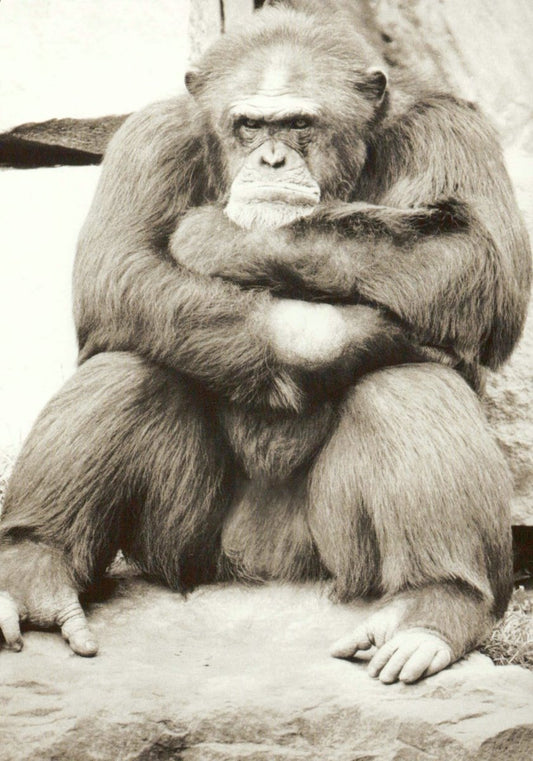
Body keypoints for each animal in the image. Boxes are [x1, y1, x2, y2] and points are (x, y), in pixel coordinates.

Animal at [0, 3, 530, 685]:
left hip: (333, 559)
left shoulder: (452, 130)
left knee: (408, 382)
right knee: (129, 362)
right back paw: (34, 568)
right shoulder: (148, 140)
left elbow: (474, 256)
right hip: (185, 549)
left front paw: (213, 233)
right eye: (249, 125)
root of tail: (262, 568)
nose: (273, 161)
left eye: (299, 124)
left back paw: (433, 606)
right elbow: (116, 271)